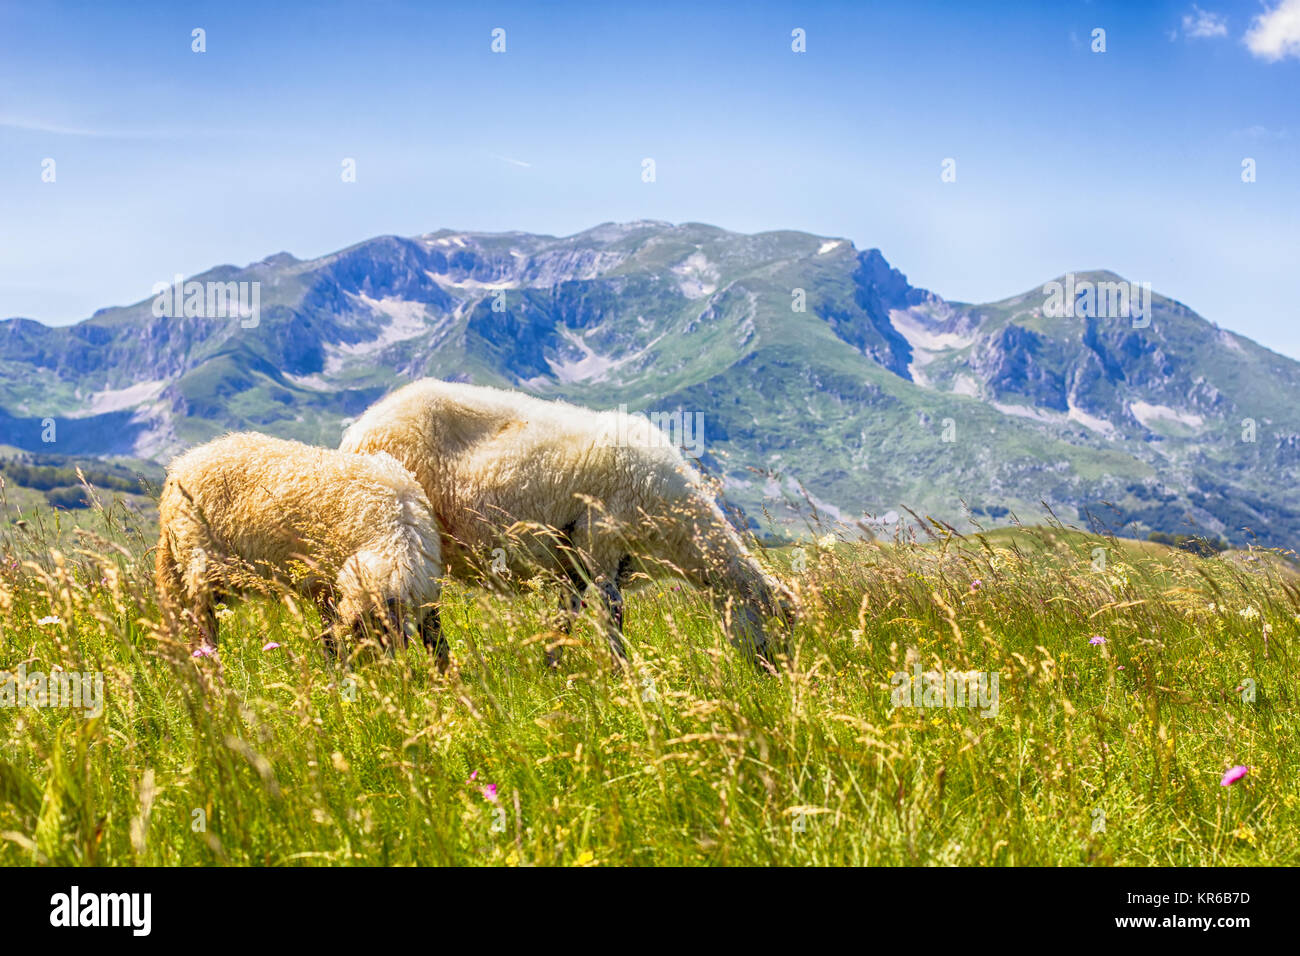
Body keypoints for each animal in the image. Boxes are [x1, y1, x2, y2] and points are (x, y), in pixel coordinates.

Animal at [155, 432, 447, 667]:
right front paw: (338, 673)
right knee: (202, 631)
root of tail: (182, 464)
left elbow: (437, 639)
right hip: (200, 569)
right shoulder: (325, 584)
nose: (379, 677)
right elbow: (329, 636)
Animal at [338, 379, 795, 666]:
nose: (776, 675)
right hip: (398, 531)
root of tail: (359, 426)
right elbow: (614, 623)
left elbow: (564, 621)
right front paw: (623, 679)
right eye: (777, 626)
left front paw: (553, 668)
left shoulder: (574, 567)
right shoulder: (600, 547)